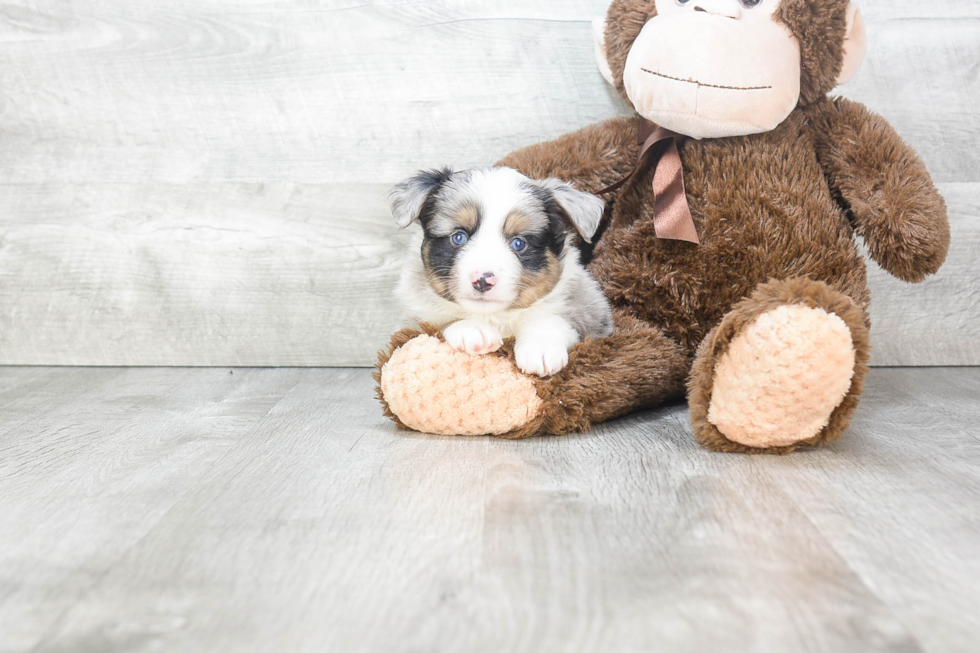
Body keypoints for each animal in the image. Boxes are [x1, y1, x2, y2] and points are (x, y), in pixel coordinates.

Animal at [388, 166, 612, 374]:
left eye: (519, 243)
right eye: (458, 237)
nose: (482, 280)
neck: (496, 318)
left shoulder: (592, 315)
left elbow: (550, 318)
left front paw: (540, 348)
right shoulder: (411, 321)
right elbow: (439, 322)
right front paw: (471, 329)